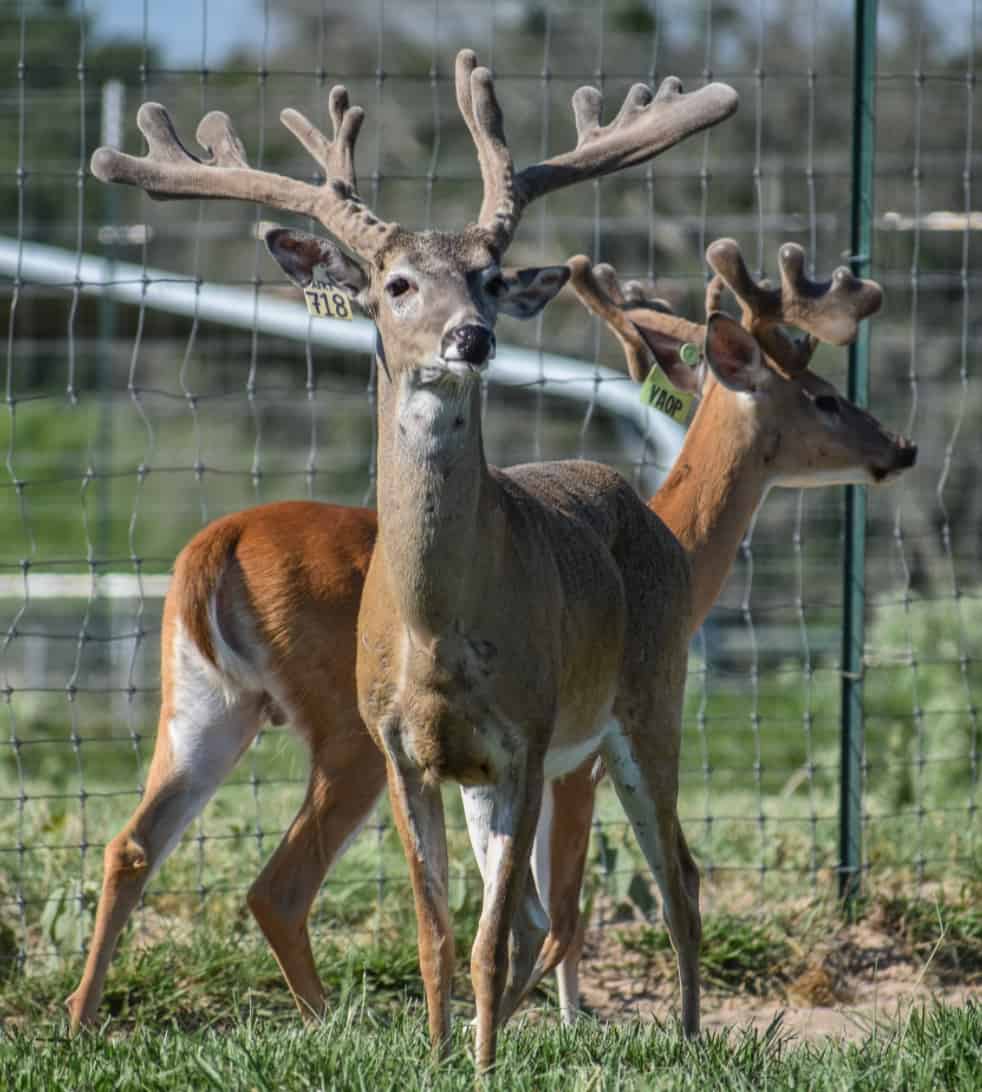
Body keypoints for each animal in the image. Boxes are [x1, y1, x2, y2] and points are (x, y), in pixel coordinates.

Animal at [69, 50, 740, 1063]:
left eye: (492, 277)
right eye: (395, 285)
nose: (473, 337)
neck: (437, 628)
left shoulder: (527, 733)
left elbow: (492, 941)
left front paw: (484, 1067)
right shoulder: (399, 745)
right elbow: (437, 935)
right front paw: (436, 1054)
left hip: (648, 695)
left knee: (678, 878)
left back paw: (694, 1039)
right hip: (225, 712)